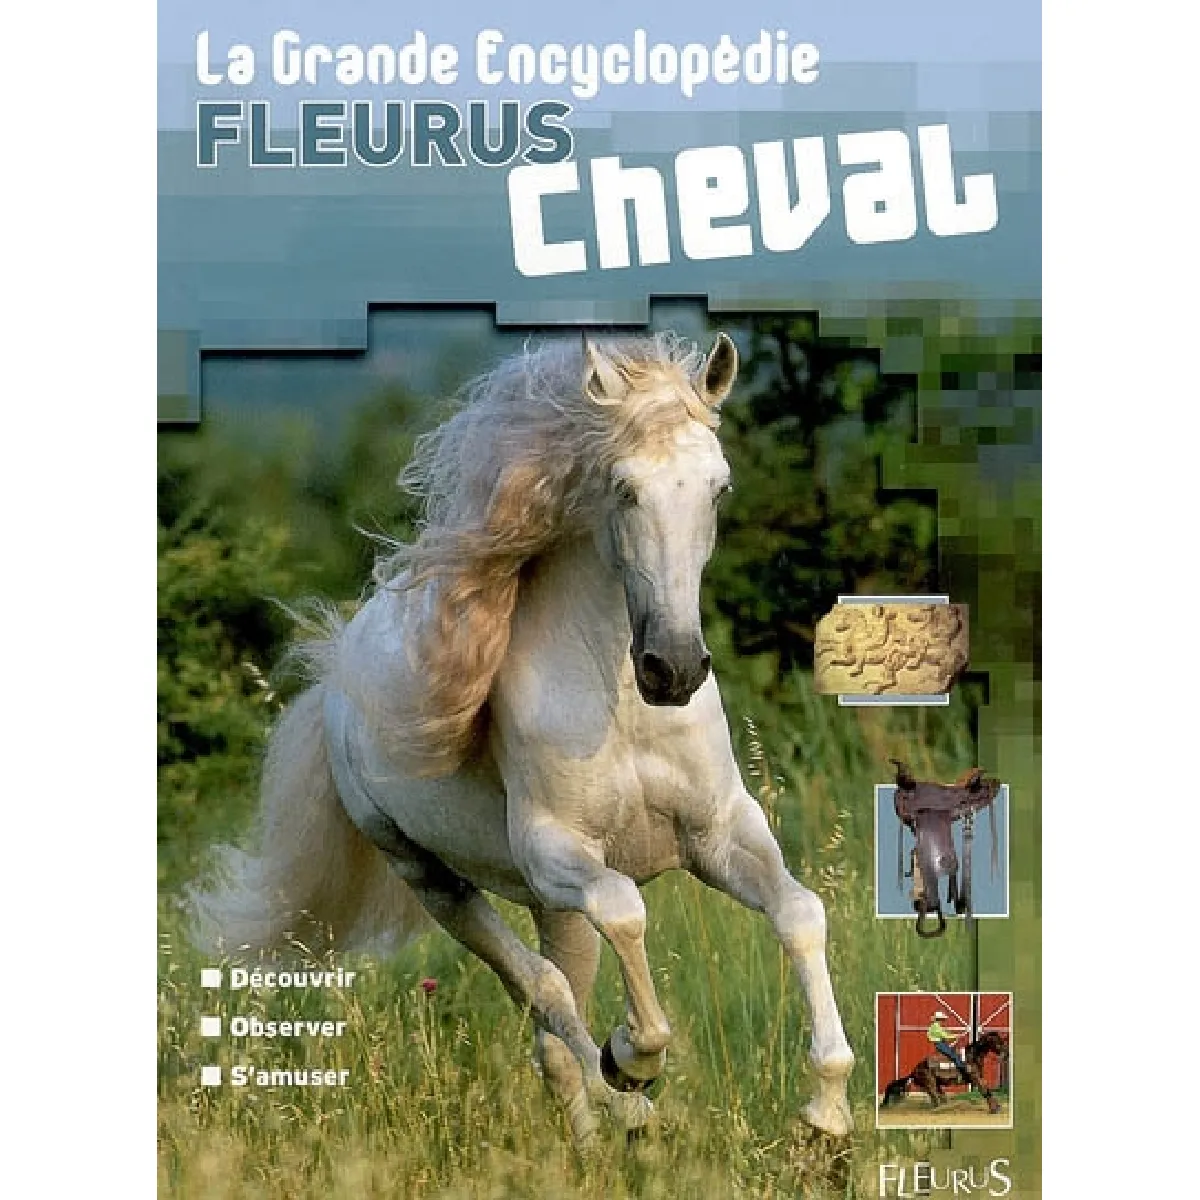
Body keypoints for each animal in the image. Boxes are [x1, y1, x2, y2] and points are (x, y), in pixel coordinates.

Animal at [191, 331, 855, 1146]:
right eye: (623, 488)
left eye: (718, 488)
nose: (672, 668)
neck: (619, 706)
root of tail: (336, 683)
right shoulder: (554, 850)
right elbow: (627, 913)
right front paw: (635, 1057)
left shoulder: (720, 832)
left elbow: (800, 914)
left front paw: (826, 1116)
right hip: (434, 877)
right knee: (547, 997)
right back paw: (626, 1099)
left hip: (551, 908)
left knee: (556, 1022)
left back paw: (601, 1139)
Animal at [880, 1031, 1008, 1114]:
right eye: (998, 1042)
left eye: (1002, 1041)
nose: (1006, 1054)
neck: (973, 1056)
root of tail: (914, 1071)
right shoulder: (975, 1079)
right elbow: (985, 1091)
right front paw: (994, 1109)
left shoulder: (980, 1078)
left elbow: (988, 1090)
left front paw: (997, 1107)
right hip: (930, 1084)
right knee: (935, 1097)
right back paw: (939, 1110)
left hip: (937, 1084)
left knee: (940, 1096)